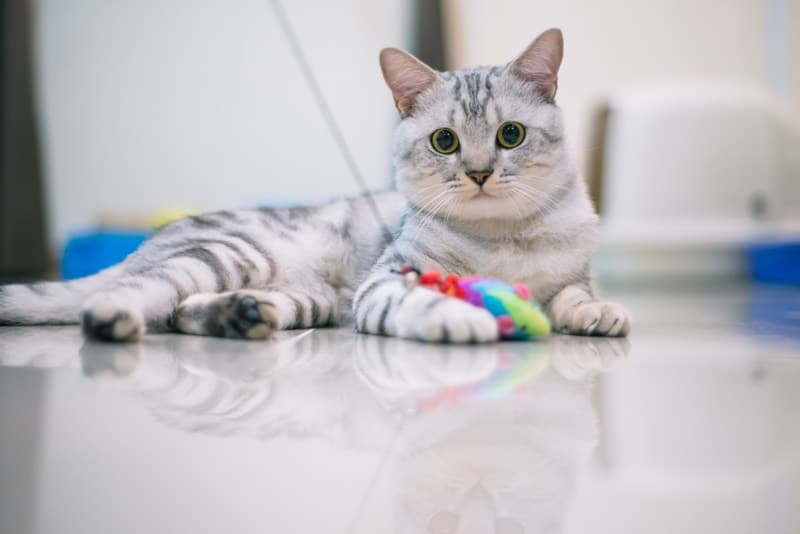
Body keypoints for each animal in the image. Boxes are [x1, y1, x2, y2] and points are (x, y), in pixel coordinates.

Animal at [0, 30, 632, 344]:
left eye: (510, 134)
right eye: (445, 141)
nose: (478, 172)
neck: (504, 239)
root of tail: (143, 245)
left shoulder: (573, 274)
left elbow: (574, 294)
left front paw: (598, 312)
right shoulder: (387, 280)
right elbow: (421, 297)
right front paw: (460, 316)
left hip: (308, 300)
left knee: (180, 312)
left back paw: (241, 316)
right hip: (226, 255)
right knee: (141, 294)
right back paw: (115, 316)